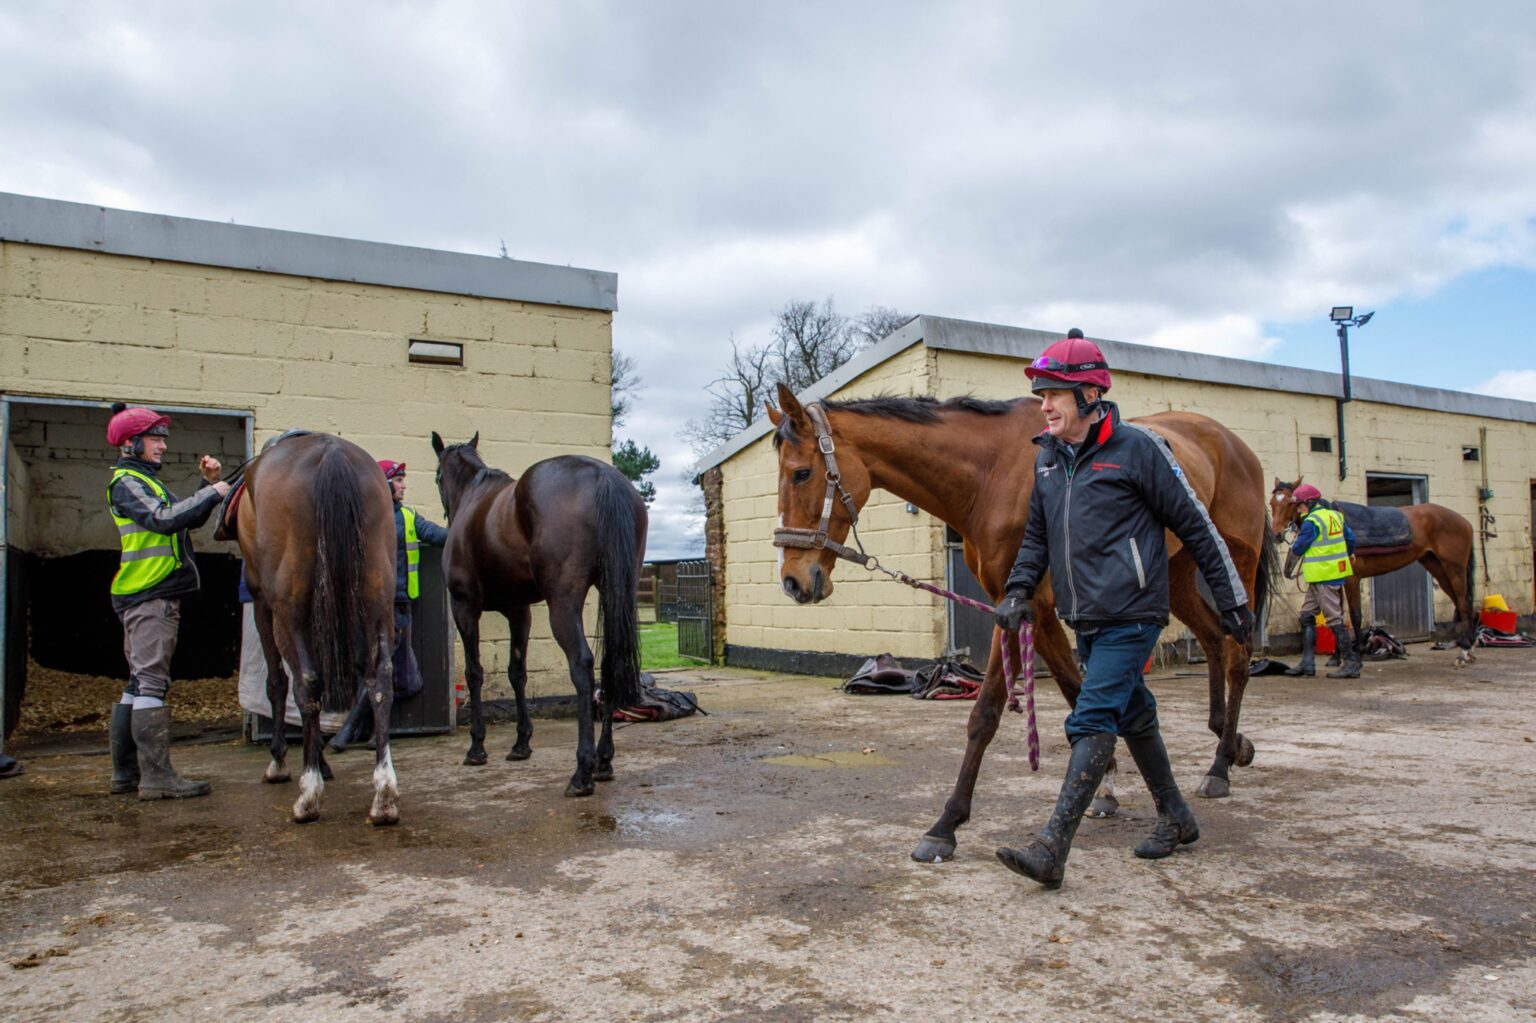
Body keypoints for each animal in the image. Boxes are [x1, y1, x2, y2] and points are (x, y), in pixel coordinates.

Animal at [235, 433, 400, 824]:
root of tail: (330, 453)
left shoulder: (262, 601)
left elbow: (278, 682)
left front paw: (282, 761)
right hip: (377, 598)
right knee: (380, 679)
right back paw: (384, 794)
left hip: (289, 606)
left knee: (306, 680)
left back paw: (308, 795)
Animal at [430, 432, 647, 797]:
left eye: (436, 478)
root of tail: (604, 476)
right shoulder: (519, 612)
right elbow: (517, 672)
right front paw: (521, 743)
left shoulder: (464, 607)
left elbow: (475, 672)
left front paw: (477, 747)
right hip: (619, 592)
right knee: (609, 664)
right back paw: (604, 761)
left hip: (562, 602)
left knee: (582, 665)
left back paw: (582, 772)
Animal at [765, 383, 1274, 864]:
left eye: (802, 473)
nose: (792, 581)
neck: (990, 474)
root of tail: (1235, 444)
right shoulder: (1017, 607)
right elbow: (1051, 697)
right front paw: (1105, 787)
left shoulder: (1028, 608)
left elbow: (1011, 709)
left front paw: (947, 825)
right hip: (1179, 569)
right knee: (1212, 638)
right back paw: (1231, 742)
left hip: (1235, 559)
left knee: (1238, 652)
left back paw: (1219, 768)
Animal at [1269, 477, 1477, 667]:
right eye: (1272, 502)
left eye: (1290, 502)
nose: (1276, 534)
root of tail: (1465, 522)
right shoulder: (1336, 581)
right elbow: (1337, 615)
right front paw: (1336, 657)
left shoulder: (1352, 579)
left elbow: (1355, 615)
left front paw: (1358, 655)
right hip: (1436, 566)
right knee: (1459, 601)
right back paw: (1469, 647)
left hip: (1454, 568)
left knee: (1463, 602)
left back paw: (1465, 651)